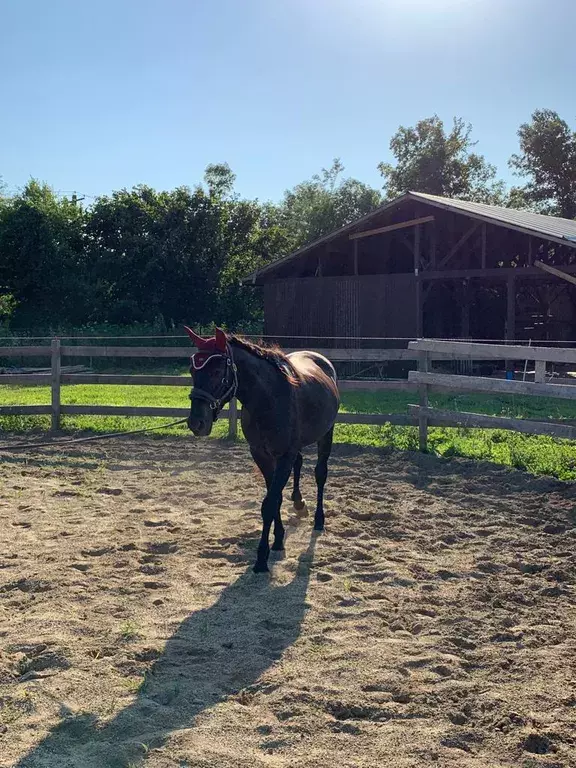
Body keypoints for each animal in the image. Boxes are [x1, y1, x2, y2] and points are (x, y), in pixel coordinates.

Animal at [184, 328, 340, 572]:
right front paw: (278, 540)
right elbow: (275, 499)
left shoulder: (284, 456)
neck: (269, 399)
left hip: (326, 434)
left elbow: (269, 503)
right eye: (192, 370)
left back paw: (318, 519)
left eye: (217, 371)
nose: (196, 423)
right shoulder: (262, 455)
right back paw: (299, 503)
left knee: (320, 474)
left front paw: (261, 558)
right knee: (299, 463)